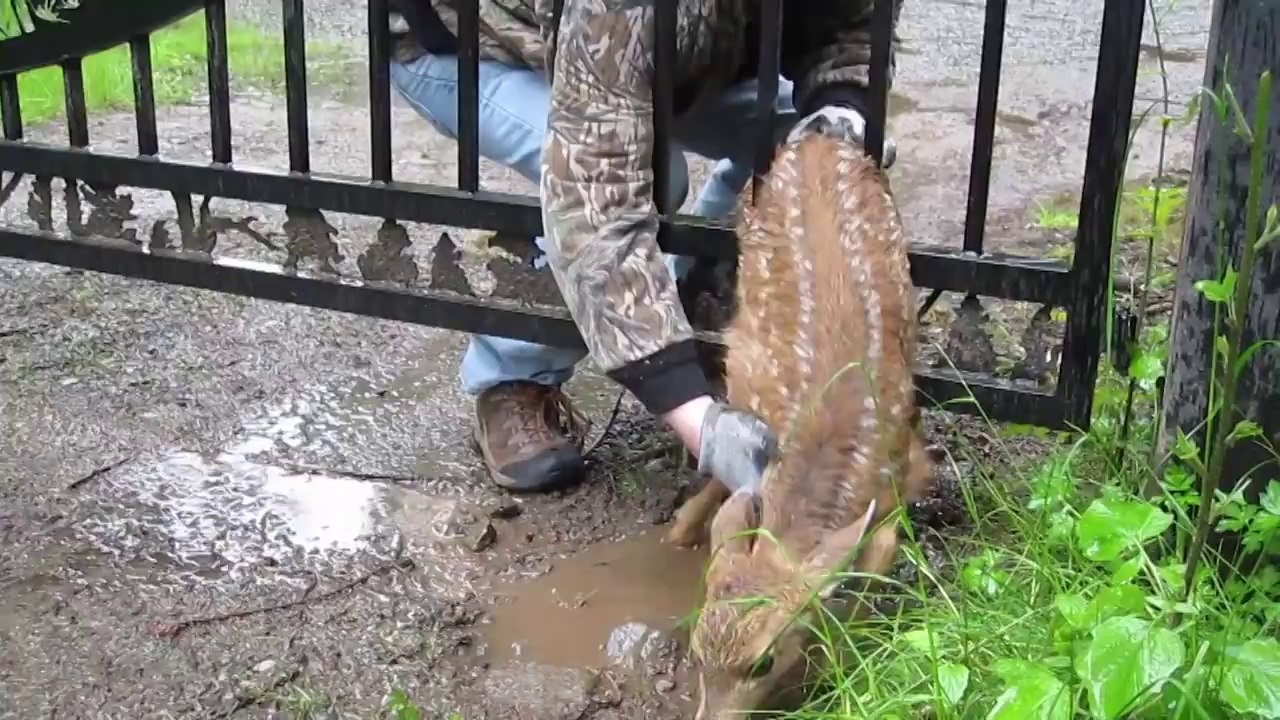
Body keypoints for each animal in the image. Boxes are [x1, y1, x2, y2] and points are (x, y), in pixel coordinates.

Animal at [664, 108, 935, 719]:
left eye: (763, 661)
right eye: (694, 644)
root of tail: (817, 138)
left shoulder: (900, 483)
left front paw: (839, 674)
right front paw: (687, 527)